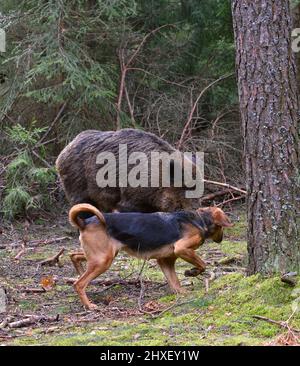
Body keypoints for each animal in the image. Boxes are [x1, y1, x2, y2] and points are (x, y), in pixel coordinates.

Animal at [68, 203, 234, 308]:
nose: (222, 239)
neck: (200, 219)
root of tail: (84, 222)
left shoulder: (165, 261)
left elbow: (175, 282)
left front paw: (182, 292)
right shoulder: (182, 249)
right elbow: (202, 264)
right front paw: (191, 272)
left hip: (101, 255)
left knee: (73, 255)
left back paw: (80, 272)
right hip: (103, 260)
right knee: (79, 284)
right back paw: (89, 305)